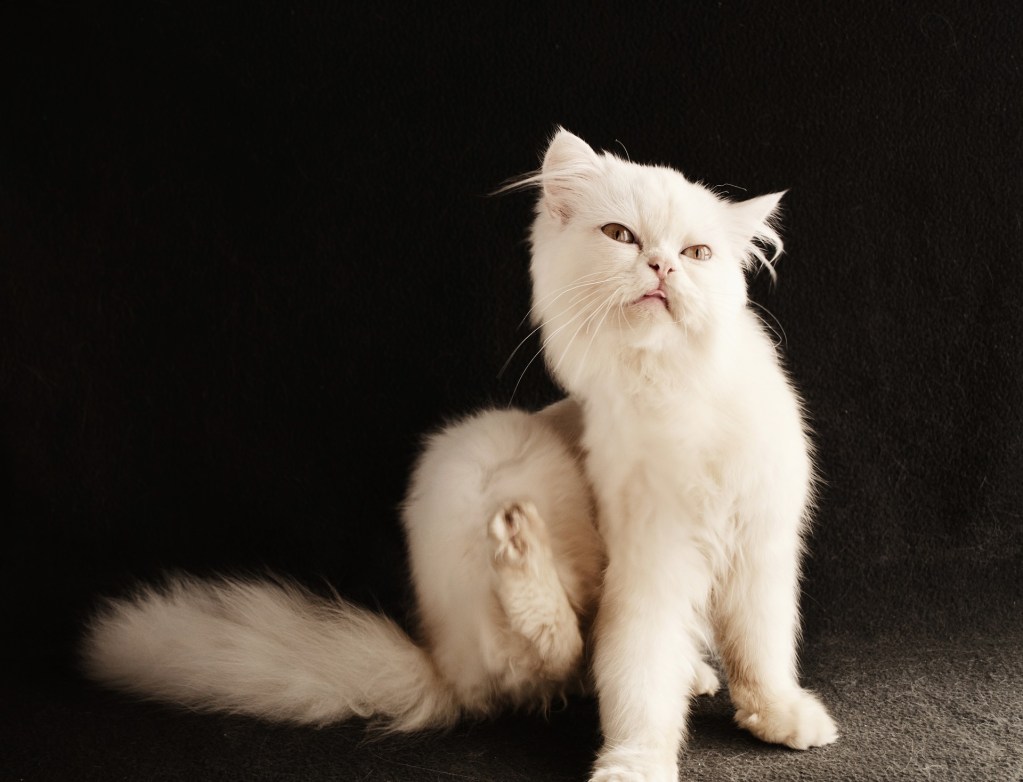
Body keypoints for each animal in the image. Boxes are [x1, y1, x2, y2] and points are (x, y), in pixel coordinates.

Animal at [83, 129, 838, 781]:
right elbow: (636, 680)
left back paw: (689, 669)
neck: (676, 393)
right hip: (493, 456)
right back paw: (520, 549)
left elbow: (761, 653)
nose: (660, 266)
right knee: (549, 657)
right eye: (621, 237)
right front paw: (634, 765)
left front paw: (780, 716)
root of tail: (439, 666)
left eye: (698, 254)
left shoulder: (762, 548)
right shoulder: (649, 564)